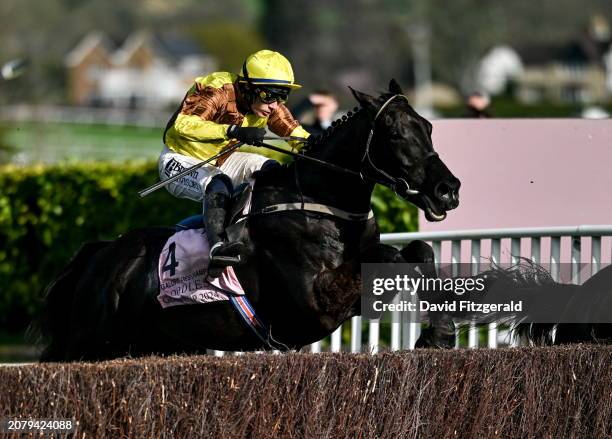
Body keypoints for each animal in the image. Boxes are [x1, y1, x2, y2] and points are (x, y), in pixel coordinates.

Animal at [34, 81, 460, 362]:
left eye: (428, 127)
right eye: (395, 132)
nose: (448, 190)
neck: (321, 202)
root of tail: (101, 255)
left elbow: (418, 250)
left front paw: (440, 334)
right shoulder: (316, 303)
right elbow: (389, 259)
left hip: (152, 344)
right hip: (87, 342)